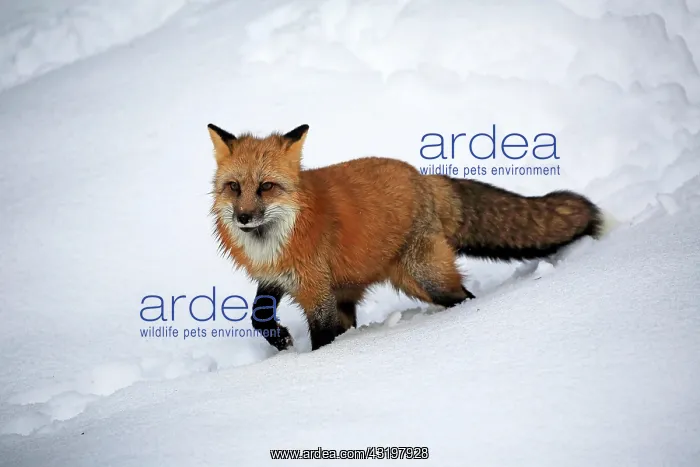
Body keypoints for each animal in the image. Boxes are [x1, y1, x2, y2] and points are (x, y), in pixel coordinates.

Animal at [206, 123, 607, 352]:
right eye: (234, 187)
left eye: (266, 187)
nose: (243, 217)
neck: (273, 240)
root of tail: (423, 177)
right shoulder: (276, 277)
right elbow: (258, 317)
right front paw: (280, 340)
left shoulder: (317, 292)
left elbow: (322, 341)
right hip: (376, 288)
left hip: (426, 278)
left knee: (464, 297)